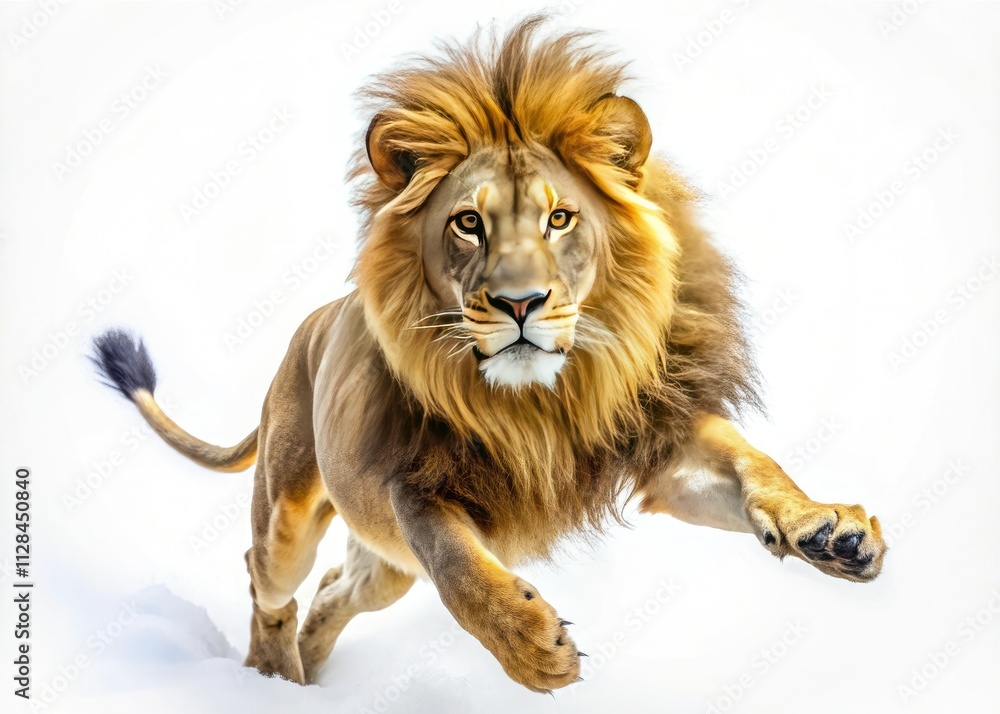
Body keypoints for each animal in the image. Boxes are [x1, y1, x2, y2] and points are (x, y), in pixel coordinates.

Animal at [91, 17, 886, 693]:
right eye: (468, 224)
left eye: (560, 218)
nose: (521, 303)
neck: (546, 401)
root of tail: (312, 323)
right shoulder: (411, 481)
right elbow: (460, 570)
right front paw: (533, 646)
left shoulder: (660, 437)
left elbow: (754, 464)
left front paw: (830, 530)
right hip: (289, 510)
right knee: (267, 577)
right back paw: (268, 677)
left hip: (384, 568)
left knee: (333, 593)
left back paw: (308, 675)